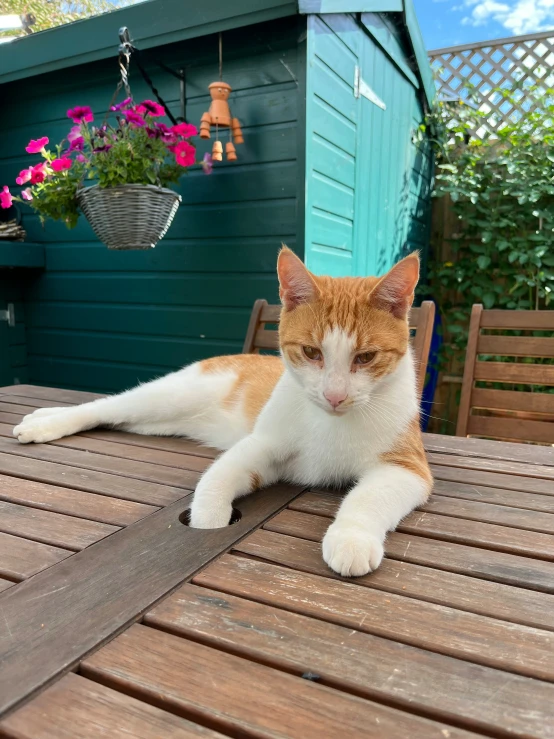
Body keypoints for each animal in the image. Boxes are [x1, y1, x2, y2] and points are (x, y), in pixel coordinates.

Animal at [10, 249, 430, 580]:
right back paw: (45, 420)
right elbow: (218, 477)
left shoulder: (408, 467)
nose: (335, 396)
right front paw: (207, 521)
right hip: (170, 396)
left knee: (119, 418)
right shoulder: (262, 444)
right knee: (105, 406)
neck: (330, 422)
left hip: (159, 421)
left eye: (366, 357)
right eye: (312, 352)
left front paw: (351, 538)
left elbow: (370, 496)